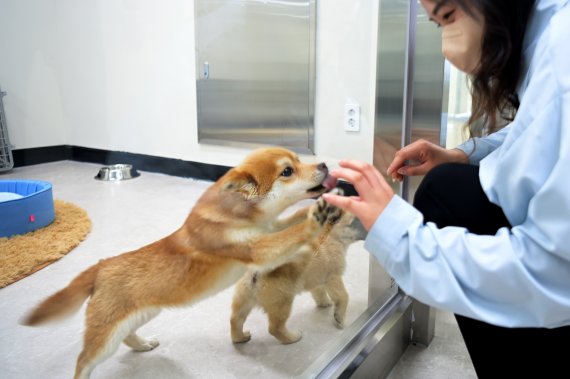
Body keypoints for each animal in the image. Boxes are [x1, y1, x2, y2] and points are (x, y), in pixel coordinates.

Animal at [22, 148, 340, 379]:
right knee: (83, 360)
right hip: (105, 338)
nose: (325, 165)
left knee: (127, 337)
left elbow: (290, 221)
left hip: (141, 315)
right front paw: (316, 218)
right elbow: (294, 233)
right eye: (287, 171)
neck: (243, 215)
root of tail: (101, 266)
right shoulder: (257, 250)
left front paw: (326, 203)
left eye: (299, 160)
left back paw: (143, 344)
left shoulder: (270, 229)